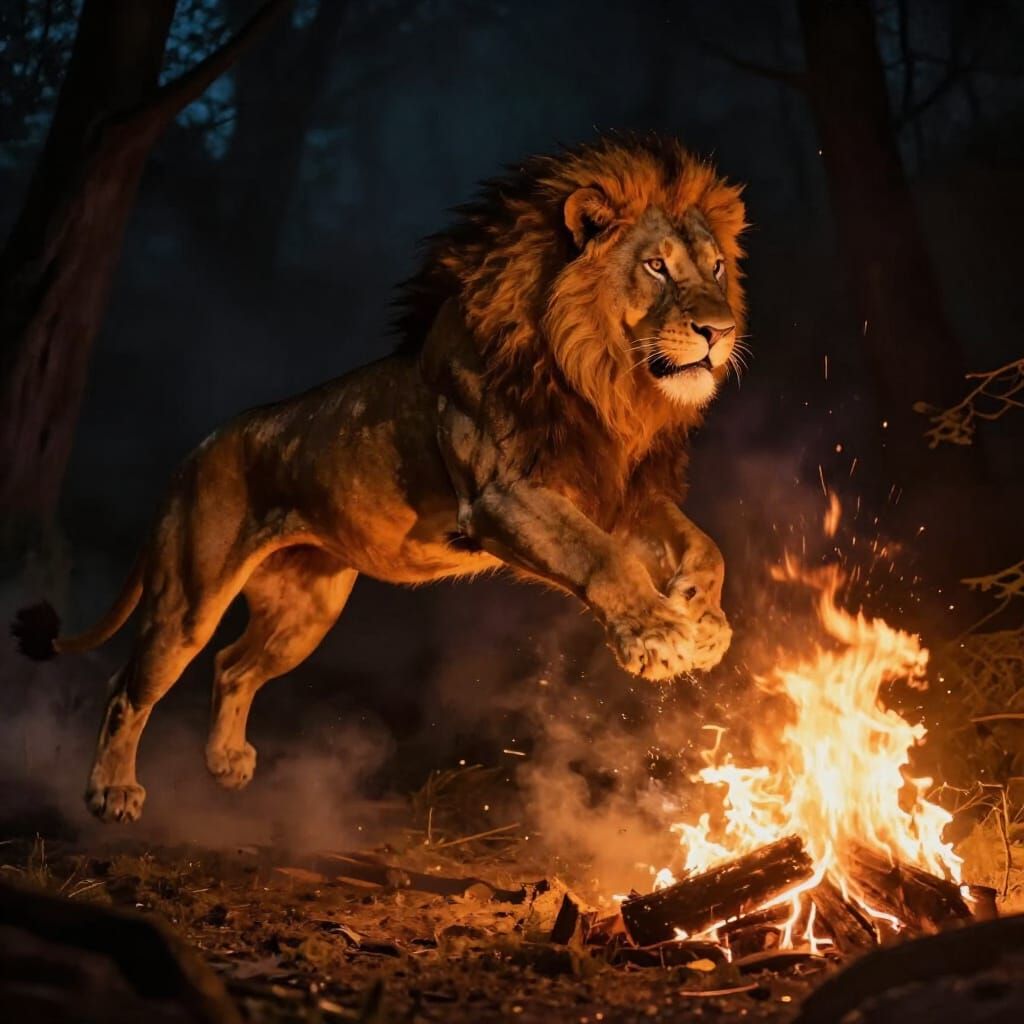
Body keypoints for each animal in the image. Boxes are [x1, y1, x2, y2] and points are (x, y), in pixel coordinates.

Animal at [13, 135, 748, 823]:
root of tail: (193, 452)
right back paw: (111, 791)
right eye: (656, 266)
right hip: (189, 598)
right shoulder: (502, 493)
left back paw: (226, 762)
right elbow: (603, 557)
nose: (720, 330)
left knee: (232, 666)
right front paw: (658, 636)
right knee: (128, 685)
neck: (605, 383)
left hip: (306, 611)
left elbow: (706, 546)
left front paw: (701, 616)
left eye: (715, 268)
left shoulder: (614, 490)